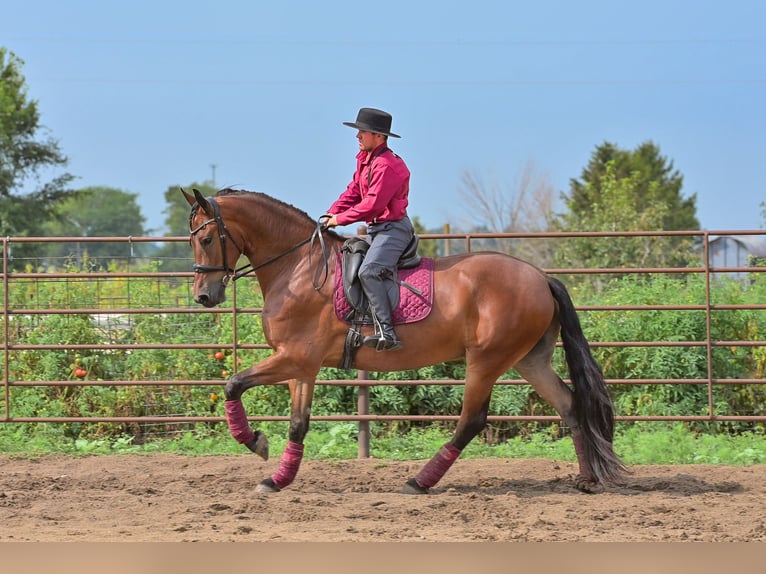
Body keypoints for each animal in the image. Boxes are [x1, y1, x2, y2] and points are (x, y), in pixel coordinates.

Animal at [183, 187, 625, 494]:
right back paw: (587, 479)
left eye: (206, 240)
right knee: (570, 406)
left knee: (472, 420)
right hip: (528, 360)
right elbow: (297, 424)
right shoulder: (301, 366)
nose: (204, 296)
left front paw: (254, 442)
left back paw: (419, 482)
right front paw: (277, 478)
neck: (299, 269)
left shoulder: (293, 358)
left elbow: (232, 384)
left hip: (486, 360)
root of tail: (540, 277)